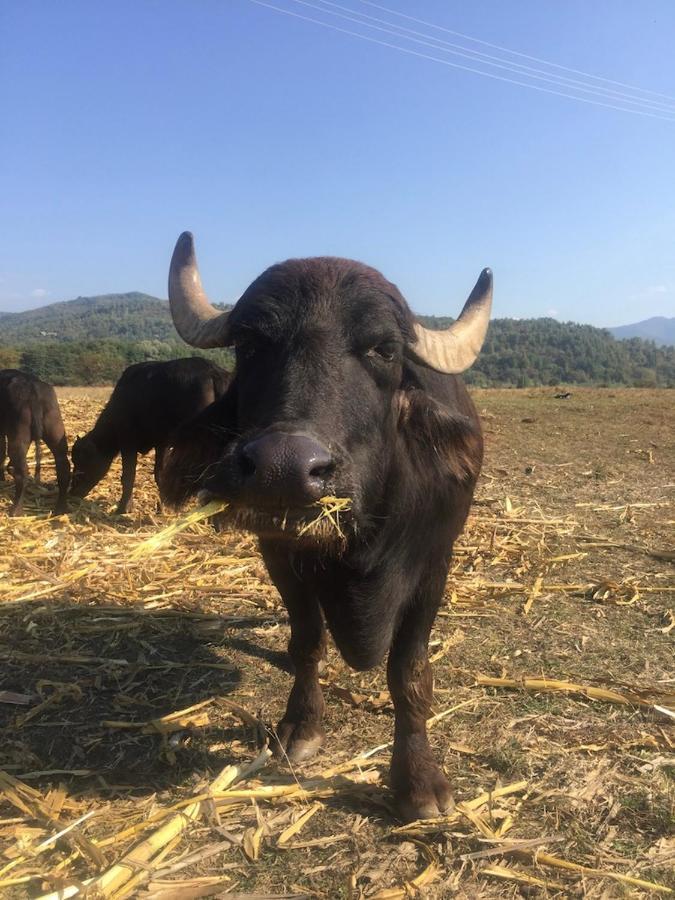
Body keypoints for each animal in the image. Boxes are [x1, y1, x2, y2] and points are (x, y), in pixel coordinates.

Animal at [0, 370, 70, 516]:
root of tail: (32, 388)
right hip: (56, 434)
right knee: (63, 467)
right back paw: (60, 508)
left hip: (18, 437)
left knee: (22, 473)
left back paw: (15, 510)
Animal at [70, 356, 231, 512]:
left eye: (82, 462)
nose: (73, 493)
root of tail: (213, 372)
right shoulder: (162, 443)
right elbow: (159, 474)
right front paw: (161, 508)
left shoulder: (128, 442)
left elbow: (128, 475)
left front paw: (123, 508)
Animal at [162, 232, 494, 824]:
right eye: (249, 345)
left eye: (383, 349)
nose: (283, 467)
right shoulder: (278, 553)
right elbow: (307, 642)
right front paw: (300, 725)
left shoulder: (434, 563)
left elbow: (409, 671)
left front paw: (418, 780)